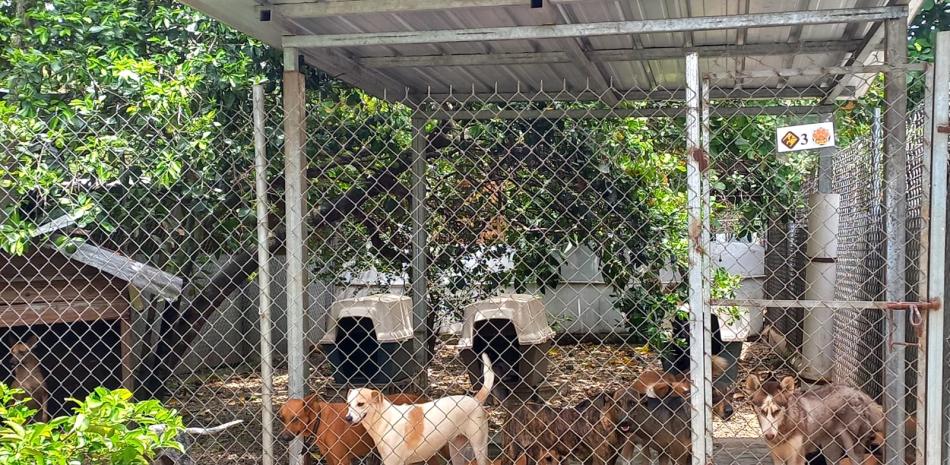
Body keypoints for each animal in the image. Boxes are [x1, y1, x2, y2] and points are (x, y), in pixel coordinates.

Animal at [276, 392, 442, 464]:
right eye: (281, 418)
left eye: (295, 419)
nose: (283, 438)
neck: (321, 419)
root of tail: (420, 397)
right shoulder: (330, 458)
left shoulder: (342, 459)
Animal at [350, 354, 498, 464]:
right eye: (349, 405)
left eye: (360, 404)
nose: (347, 418)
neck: (385, 420)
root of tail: (475, 399)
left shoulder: (394, 461)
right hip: (455, 450)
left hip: (479, 448)